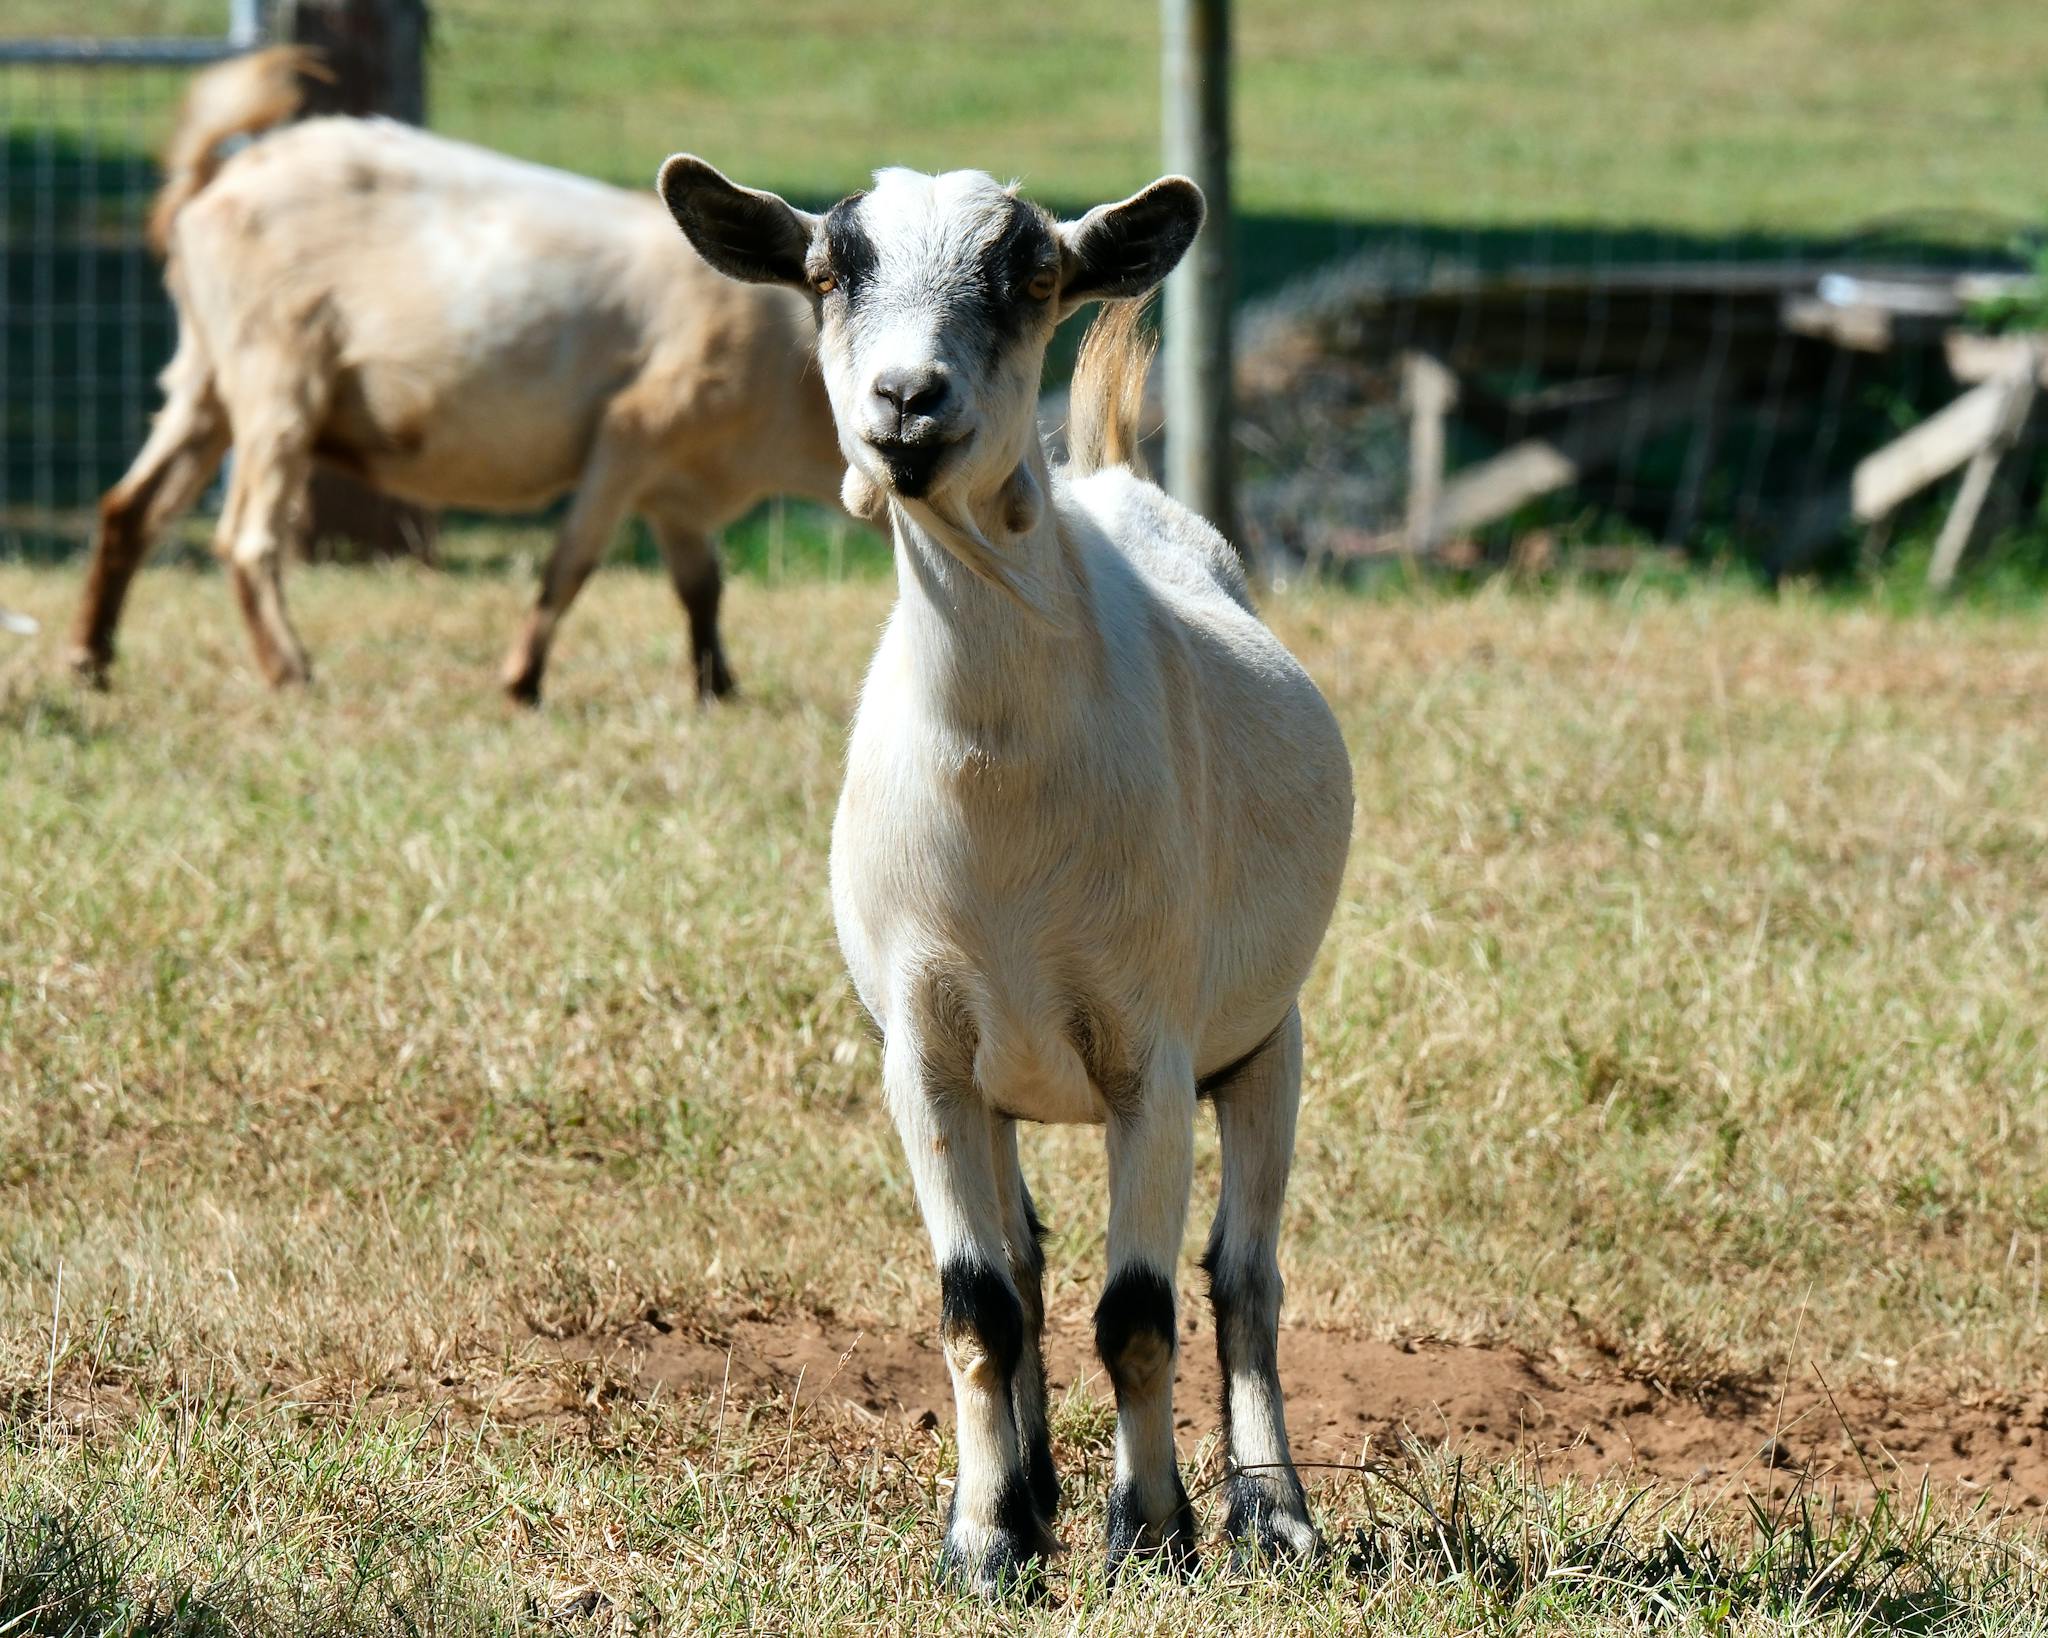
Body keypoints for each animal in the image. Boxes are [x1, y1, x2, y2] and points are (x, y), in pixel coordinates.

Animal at [70, 48, 846, 703]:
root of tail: (214, 180)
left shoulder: (679, 492)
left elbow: (701, 589)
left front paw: (720, 691)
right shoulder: (636, 431)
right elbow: (571, 564)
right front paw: (521, 684)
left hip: (205, 373)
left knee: (131, 508)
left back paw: (91, 663)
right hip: (275, 368)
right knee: (245, 535)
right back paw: (291, 673)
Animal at [660, 158, 1353, 1593]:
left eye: (1032, 275)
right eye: (827, 272)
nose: (906, 401)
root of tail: (1117, 477)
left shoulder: (1151, 1049)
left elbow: (1139, 1307)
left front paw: (1151, 1534)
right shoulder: (922, 1054)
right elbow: (977, 1300)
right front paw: (987, 1539)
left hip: (1268, 1038)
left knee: (1243, 1275)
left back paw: (1274, 1513)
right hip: (1009, 1079)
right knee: (1029, 1266)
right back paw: (1034, 1487)